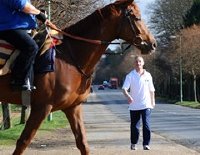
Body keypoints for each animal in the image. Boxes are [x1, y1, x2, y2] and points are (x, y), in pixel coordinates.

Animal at [0, 0, 156, 155]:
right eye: (136, 17)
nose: (153, 44)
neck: (69, 58)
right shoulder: (41, 108)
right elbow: (23, 142)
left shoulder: (73, 107)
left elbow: (82, 143)